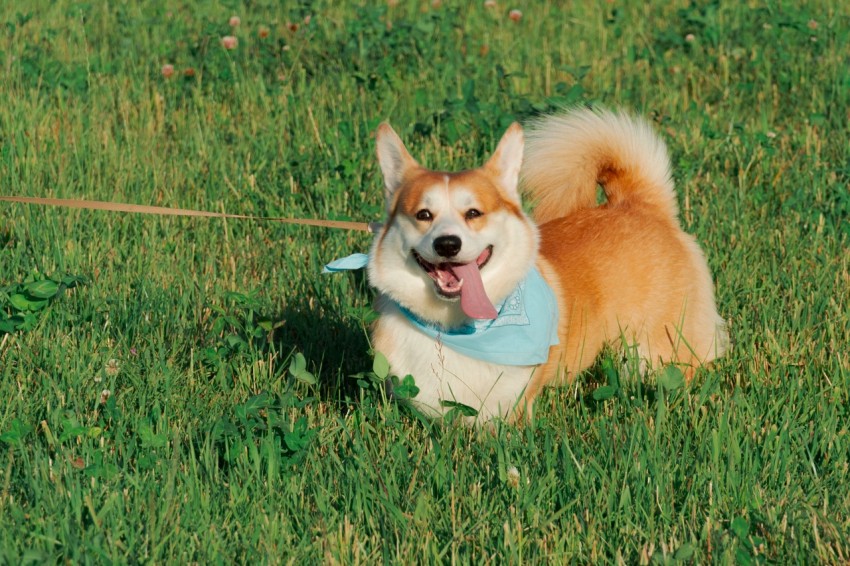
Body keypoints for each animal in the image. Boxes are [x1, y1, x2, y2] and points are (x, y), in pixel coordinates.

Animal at [368, 107, 724, 426]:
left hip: (659, 350)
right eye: (423, 214)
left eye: (473, 213)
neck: (457, 328)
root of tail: (639, 204)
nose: (447, 244)